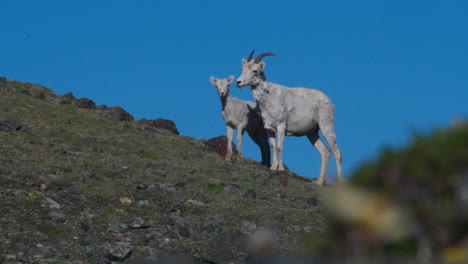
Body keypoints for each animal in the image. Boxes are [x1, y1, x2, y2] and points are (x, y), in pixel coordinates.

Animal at [236, 50, 342, 185]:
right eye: (242, 69)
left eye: (255, 71)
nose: (238, 82)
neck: (268, 98)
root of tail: (329, 102)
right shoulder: (269, 129)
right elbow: (273, 146)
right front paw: (273, 167)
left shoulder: (281, 126)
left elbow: (280, 147)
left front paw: (280, 169)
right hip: (312, 133)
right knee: (325, 152)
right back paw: (319, 182)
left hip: (326, 128)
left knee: (337, 153)